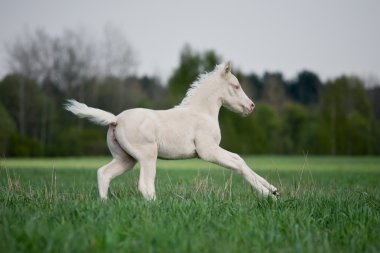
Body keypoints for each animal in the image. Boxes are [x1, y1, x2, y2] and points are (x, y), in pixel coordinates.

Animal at [65, 61, 280, 200]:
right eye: (235, 86)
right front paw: (268, 195)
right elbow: (237, 165)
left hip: (126, 159)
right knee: (145, 185)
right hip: (147, 156)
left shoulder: (214, 148)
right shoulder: (207, 151)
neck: (202, 112)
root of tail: (115, 119)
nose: (251, 106)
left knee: (104, 173)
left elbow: (240, 159)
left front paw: (274, 190)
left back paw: (104, 205)